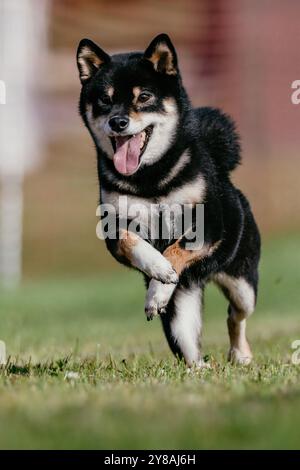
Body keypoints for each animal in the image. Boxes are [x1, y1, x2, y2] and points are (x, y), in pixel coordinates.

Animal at [77, 35, 260, 370]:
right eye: (105, 100)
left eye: (144, 96)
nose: (118, 122)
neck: (150, 179)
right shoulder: (113, 228)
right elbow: (136, 243)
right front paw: (158, 270)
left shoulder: (207, 225)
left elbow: (176, 248)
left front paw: (159, 285)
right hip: (180, 312)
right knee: (189, 346)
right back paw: (200, 368)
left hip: (243, 285)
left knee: (235, 316)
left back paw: (240, 354)